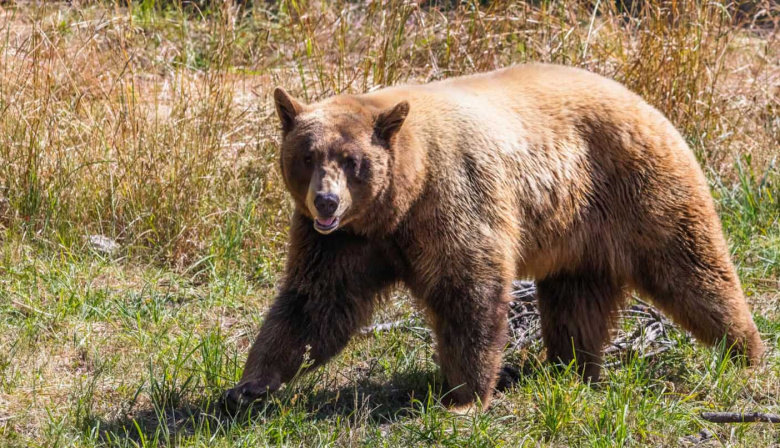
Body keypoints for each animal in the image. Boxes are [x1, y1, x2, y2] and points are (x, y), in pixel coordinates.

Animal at [224, 63, 765, 413]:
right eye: (307, 156)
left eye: (352, 160)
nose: (327, 202)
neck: (400, 199)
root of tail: (644, 99)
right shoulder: (347, 242)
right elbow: (315, 302)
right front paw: (249, 386)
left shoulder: (450, 198)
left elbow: (468, 288)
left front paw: (465, 397)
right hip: (578, 235)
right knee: (576, 303)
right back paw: (571, 366)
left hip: (640, 187)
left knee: (692, 267)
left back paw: (745, 352)